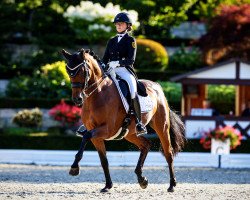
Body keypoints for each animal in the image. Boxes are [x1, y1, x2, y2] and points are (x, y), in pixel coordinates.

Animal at [61, 48, 186, 192]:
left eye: (82, 71)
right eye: (68, 72)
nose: (77, 99)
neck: (97, 95)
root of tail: (157, 86)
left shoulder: (107, 129)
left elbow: (86, 136)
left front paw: (74, 168)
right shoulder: (96, 135)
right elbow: (103, 160)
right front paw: (108, 185)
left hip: (162, 126)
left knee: (168, 153)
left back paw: (171, 184)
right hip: (129, 133)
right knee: (145, 145)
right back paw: (142, 179)